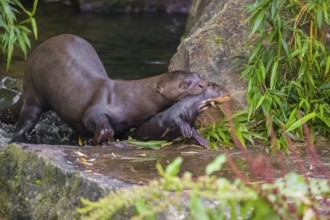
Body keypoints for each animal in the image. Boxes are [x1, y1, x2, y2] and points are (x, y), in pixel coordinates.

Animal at [1, 34, 208, 144]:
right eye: (185, 84)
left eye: (198, 75)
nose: (203, 84)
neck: (129, 99)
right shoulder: (96, 110)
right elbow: (97, 120)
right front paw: (102, 137)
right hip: (34, 92)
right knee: (26, 118)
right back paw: (19, 139)